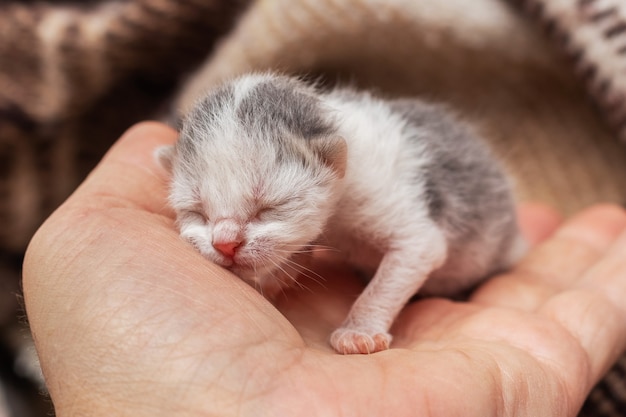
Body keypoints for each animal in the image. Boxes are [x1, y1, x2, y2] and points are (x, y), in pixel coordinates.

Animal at [157, 73, 520, 352]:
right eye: (197, 212)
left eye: (269, 208)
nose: (225, 245)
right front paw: (276, 277)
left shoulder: (390, 204)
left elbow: (399, 268)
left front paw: (359, 331)